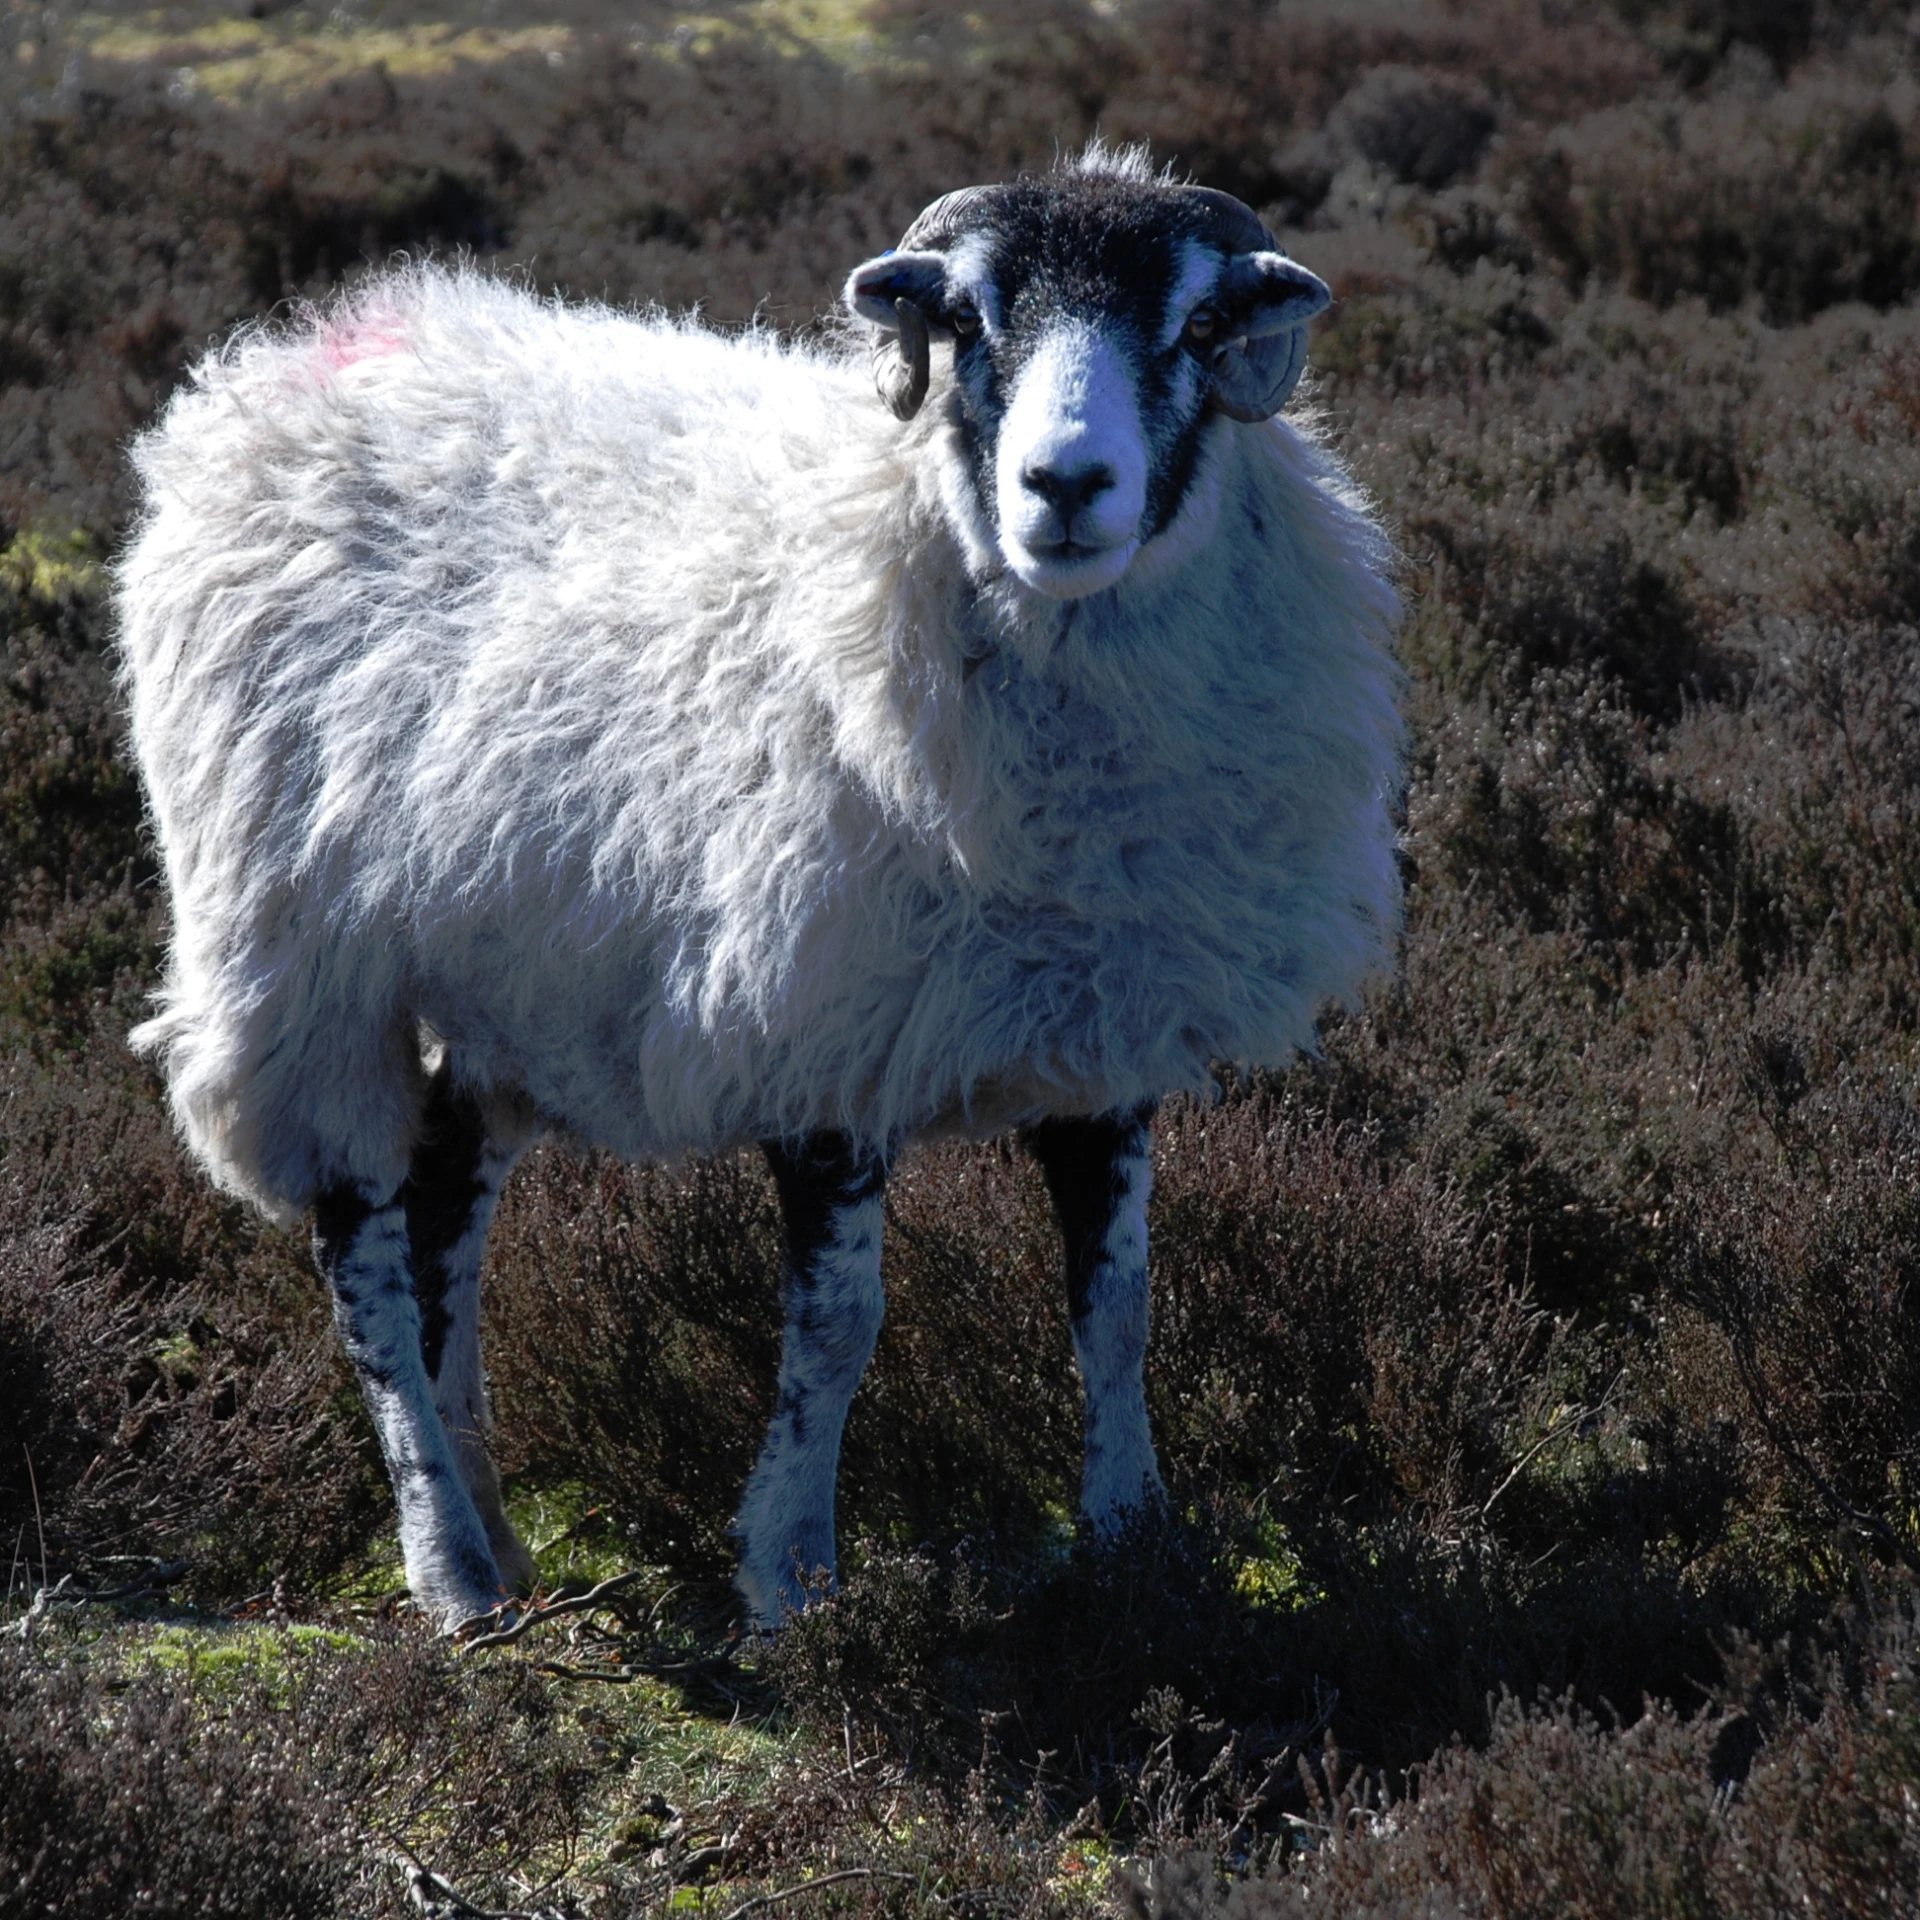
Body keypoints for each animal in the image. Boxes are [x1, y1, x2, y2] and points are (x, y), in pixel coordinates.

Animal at [120, 142, 1405, 1628]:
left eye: (1197, 324)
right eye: (963, 318)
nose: (1066, 485)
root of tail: (282, 369)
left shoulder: (1104, 1030)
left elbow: (1121, 1305)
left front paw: (1136, 1540)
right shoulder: (823, 1027)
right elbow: (840, 1329)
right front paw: (791, 1575)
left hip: (497, 975)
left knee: (444, 1206)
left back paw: (497, 1528)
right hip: (300, 961)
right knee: (363, 1256)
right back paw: (450, 1565)